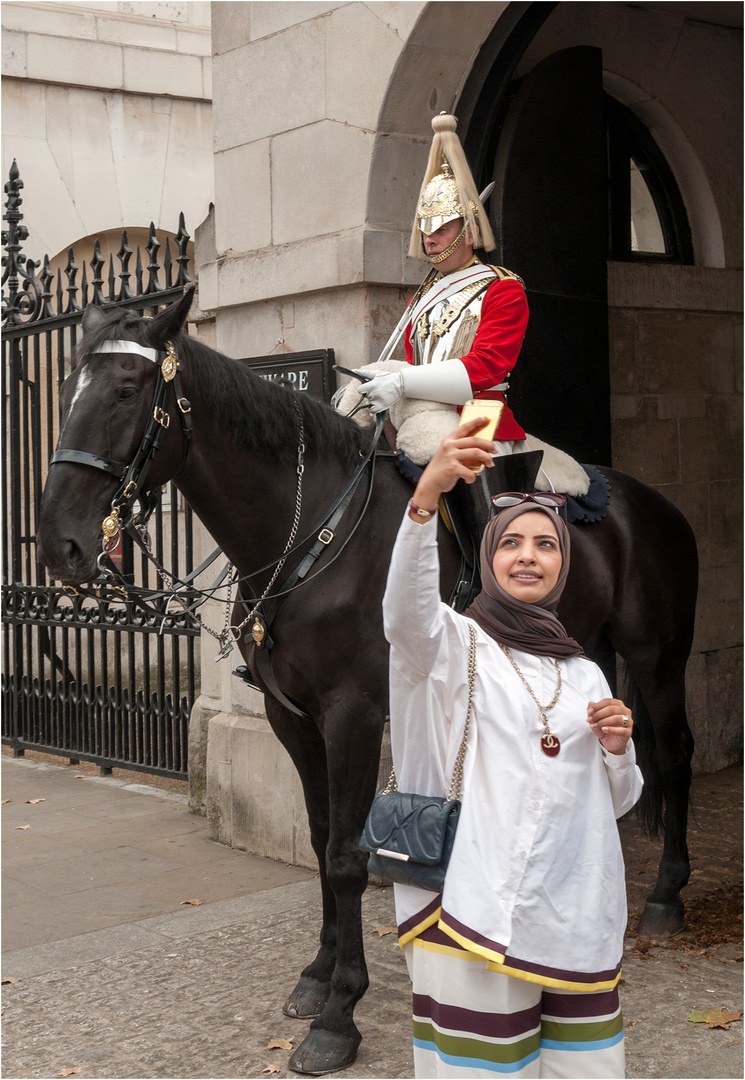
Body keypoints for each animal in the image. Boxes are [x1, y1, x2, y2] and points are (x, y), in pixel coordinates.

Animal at [34, 291, 695, 1075]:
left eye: (127, 391)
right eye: (65, 390)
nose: (60, 545)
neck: (306, 535)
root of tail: (648, 499)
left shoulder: (350, 714)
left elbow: (349, 857)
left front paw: (339, 1015)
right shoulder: (292, 718)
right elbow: (322, 841)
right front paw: (317, 977)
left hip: (656, 655)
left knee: (674, 755)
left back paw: (664, 897)